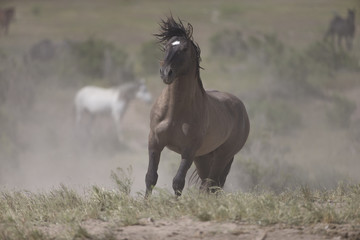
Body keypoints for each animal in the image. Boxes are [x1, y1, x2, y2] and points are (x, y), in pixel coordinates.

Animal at [145, 16, 249, 197]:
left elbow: (178, 182)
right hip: (203, 157)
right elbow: (151, 177)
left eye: (184, 48)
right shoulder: (155, 142)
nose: (166, 73)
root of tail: (240, 107)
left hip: (222, 156)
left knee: (211, 185)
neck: (174, 113)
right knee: (207, 186)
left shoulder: (189, 150)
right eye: (166, 47)